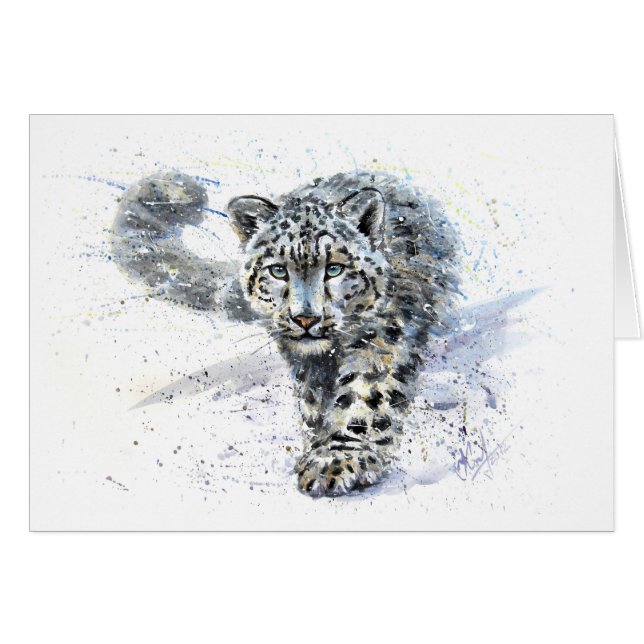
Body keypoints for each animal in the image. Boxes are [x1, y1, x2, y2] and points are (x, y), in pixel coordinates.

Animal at [112, 170, 460, 497]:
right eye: (278, 270)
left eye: (335, 268)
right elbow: (315, 401)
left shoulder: (381, 339)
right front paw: (320, 443)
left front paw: (336, 459)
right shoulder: (307, 364)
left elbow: (365, 396)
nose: (305, 318)